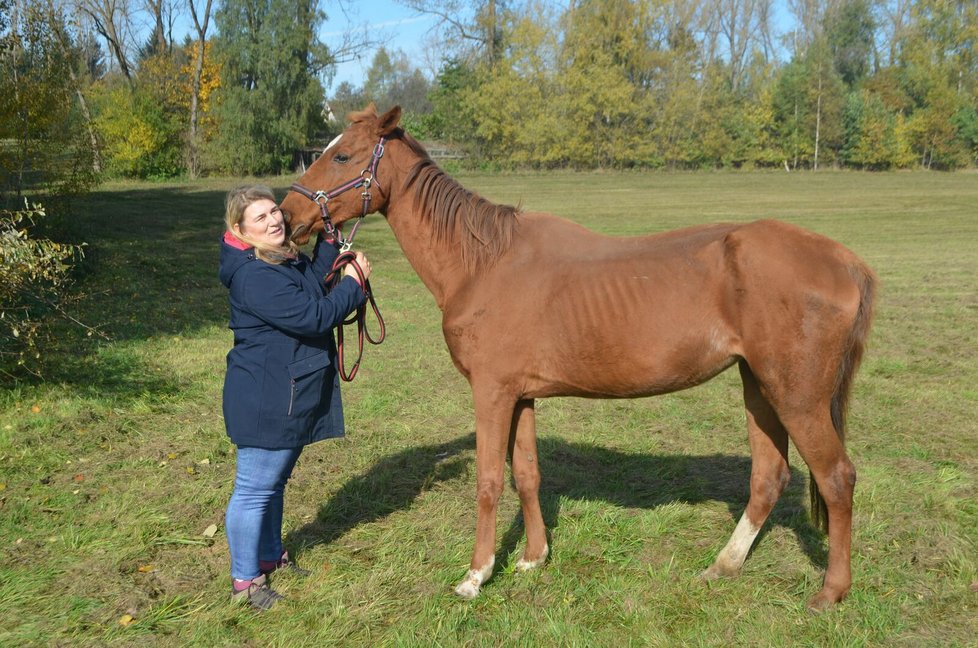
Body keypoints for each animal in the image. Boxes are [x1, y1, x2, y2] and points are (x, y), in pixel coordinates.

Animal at [278, 104, 872, 612]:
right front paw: (532, 558)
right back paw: (723, 567)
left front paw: (476, 575)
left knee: (837, 477)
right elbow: (527, 474)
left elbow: (490, 481)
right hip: (760, 386)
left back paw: (831, 591)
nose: (288, 215)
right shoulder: (521, 395)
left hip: (797, 396)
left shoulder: (491, 391)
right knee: (769, 476)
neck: (483, 263)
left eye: (344, 156)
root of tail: (844, 260)